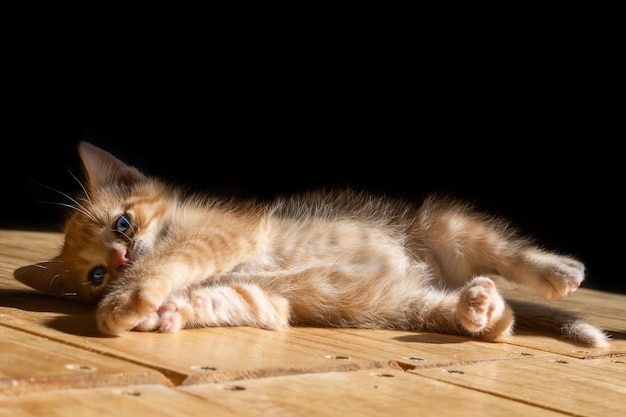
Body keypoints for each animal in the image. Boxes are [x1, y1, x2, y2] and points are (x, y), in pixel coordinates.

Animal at [13, 141, 608, 346]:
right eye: (95, 275)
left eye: (123, 224)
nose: (119, 260)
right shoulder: (263, 299)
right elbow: (223, 299)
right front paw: (165, 312)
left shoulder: (225, 231)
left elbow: (173, 258)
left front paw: (131, 300)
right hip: (404, 305)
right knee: (499, 321)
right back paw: (479, 309)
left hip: (446, 225)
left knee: (506, 251)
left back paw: (557, 271)